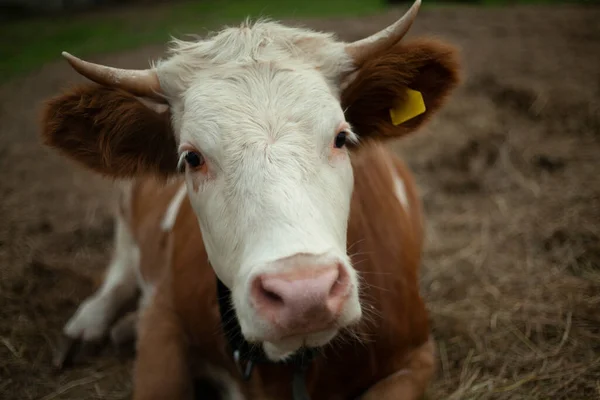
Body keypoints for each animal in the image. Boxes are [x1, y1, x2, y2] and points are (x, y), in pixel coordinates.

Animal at [38, 1, 460, 398]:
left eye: (341, 137)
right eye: (191, 158)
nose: (303, 294)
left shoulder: (417, 353)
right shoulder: (163, 316)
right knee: (120, 273)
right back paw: (87, 327)